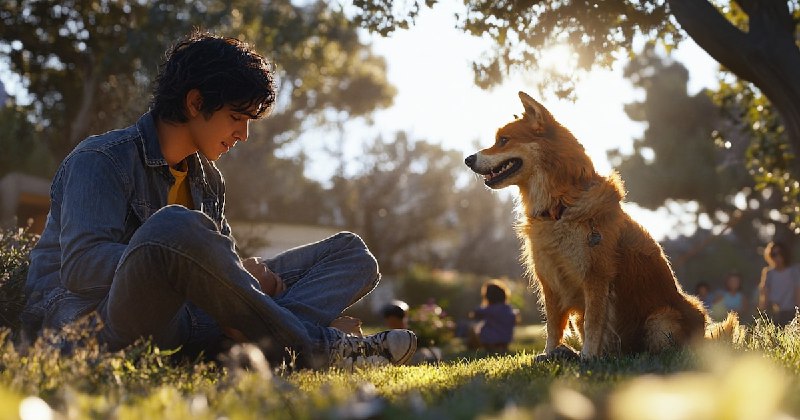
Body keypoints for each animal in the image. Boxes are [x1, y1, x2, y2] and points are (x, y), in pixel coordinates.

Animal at [462, 92, 720, 360]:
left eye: (503, 140)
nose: (468, 159)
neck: (560, 208)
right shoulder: (550, 280)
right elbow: (552, 324)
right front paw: (550, 352)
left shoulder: (596, 277)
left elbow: (594, 323)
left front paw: (588, 357)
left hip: (660, 320)